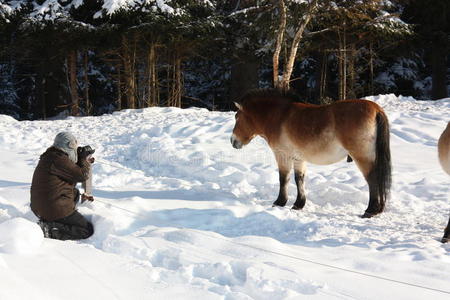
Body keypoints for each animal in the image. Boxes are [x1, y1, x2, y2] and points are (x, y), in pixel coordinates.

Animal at [230, 89, 392, 218]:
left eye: (237, 117)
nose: (232, 140)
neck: (279, 116)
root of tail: (376, 109)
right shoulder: (298, 158)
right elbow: (299, 179)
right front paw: (298, 204)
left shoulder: (282, 156)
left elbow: (283, 179)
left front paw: (279, 202)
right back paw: (378, 209)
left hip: (362, 157)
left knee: (372, 179)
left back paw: (370, 210)